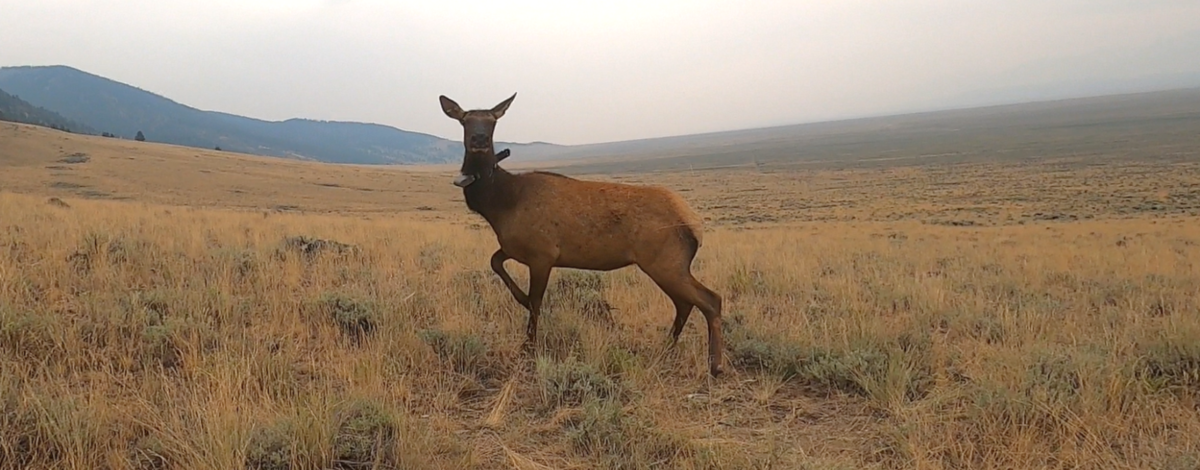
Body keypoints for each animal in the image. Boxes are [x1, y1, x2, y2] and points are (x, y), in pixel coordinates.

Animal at [439, 93, 724, 376]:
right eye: (465, 121)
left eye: (492, 122)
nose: (479, 139)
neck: (501, 205)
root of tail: (695, 226)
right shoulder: (513, 248)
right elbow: (495, 262)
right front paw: (521, 301)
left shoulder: (543, 253)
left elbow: (536, 301)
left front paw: (529, 347)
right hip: (666, 264)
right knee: (685, 303)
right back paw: (666, 349)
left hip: (665, 262)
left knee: (710, 299)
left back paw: (715, 365)